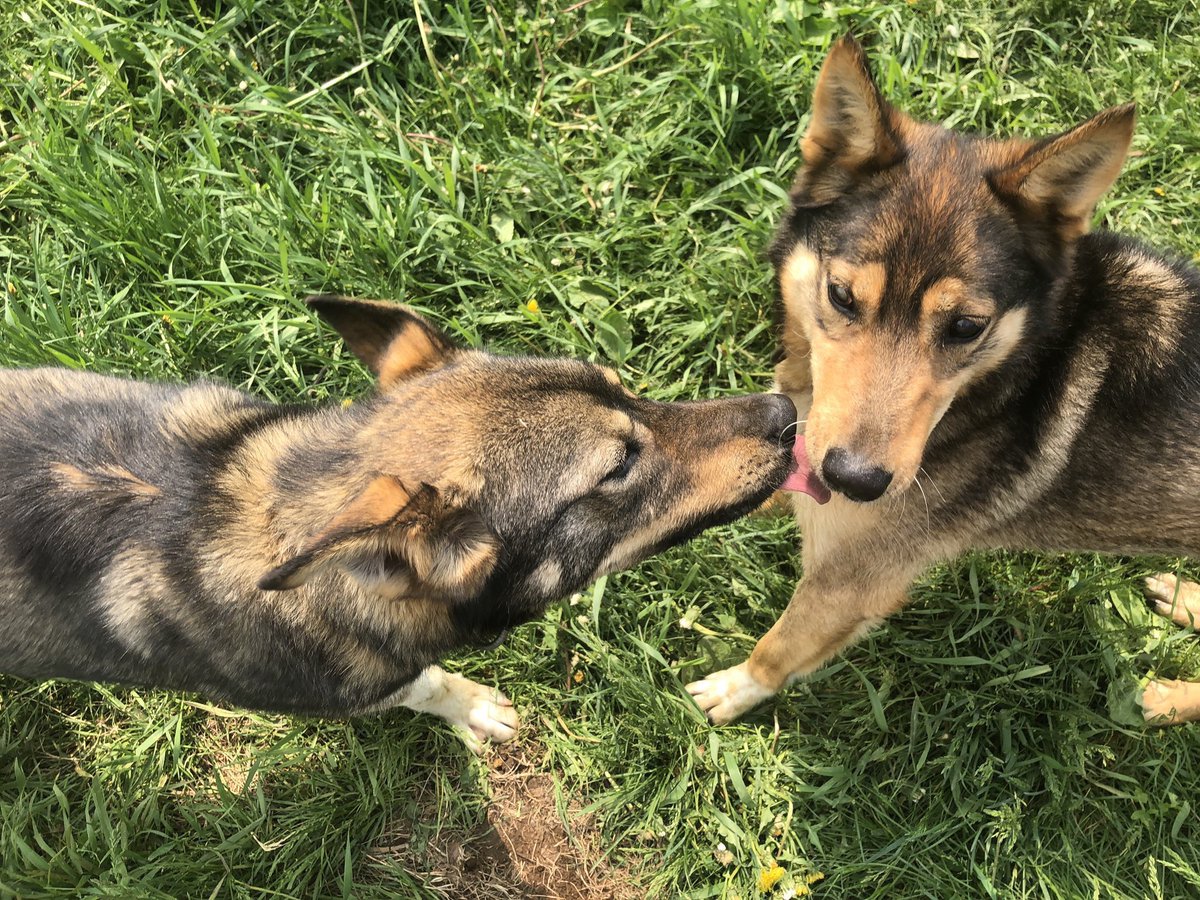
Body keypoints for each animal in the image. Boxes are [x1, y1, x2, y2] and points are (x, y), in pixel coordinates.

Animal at [4, 294, 801, 748]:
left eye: (626, 389)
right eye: (618, 467)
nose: (787, 413)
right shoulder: (359, 688)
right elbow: (424, 684)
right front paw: (473, 708)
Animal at [691, 35, 1200, 729]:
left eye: (965, 326)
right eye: (841, 296)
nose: (855, 481)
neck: (1023, 368)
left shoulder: (853, 583)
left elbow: (779, 648)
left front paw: (732, 689)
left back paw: (1168, 699)